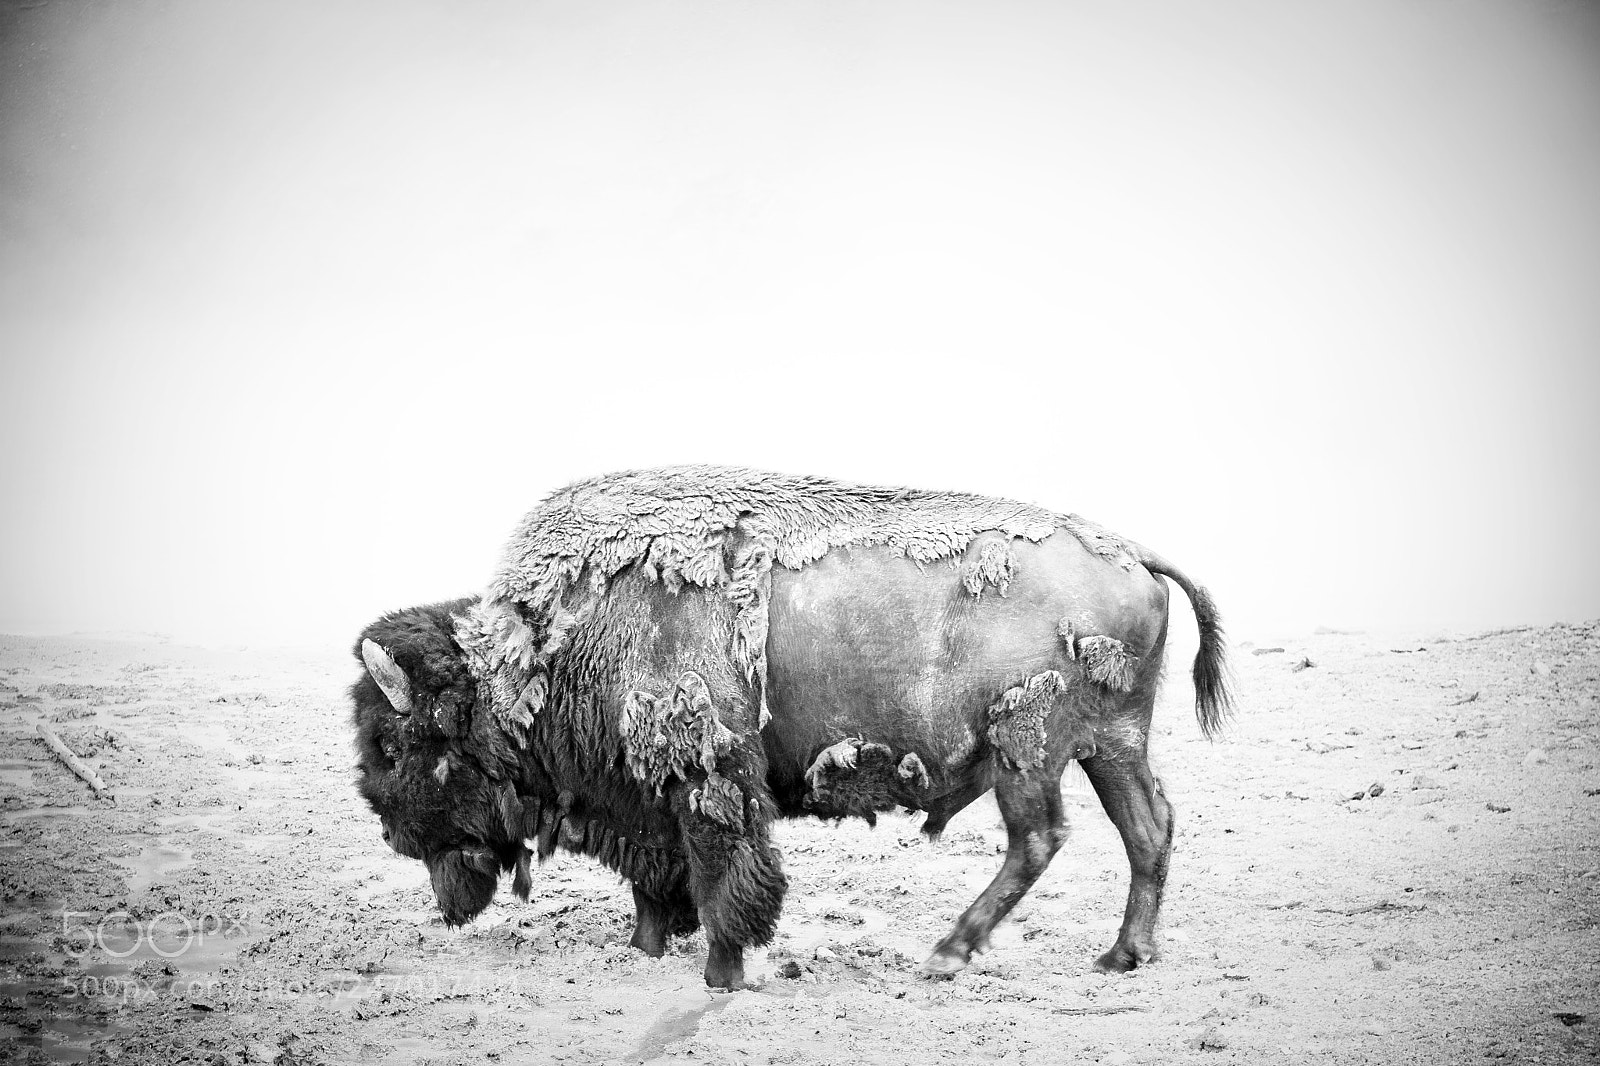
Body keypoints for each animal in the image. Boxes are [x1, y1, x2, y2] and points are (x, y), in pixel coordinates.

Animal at [351, 466, 1232, 988]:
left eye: (398, 745)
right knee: (1147, 827)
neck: (540, 652)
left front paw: (721, 973)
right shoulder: (650, 793)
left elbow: (723, 878)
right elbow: (656, 881)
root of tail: (1133, 554)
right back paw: (1121, 955)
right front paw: (645, 949)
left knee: (1040, 838)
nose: (392, 832)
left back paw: (947, 955)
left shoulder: (706, 780)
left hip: (1028, 748)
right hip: (1110, 744)